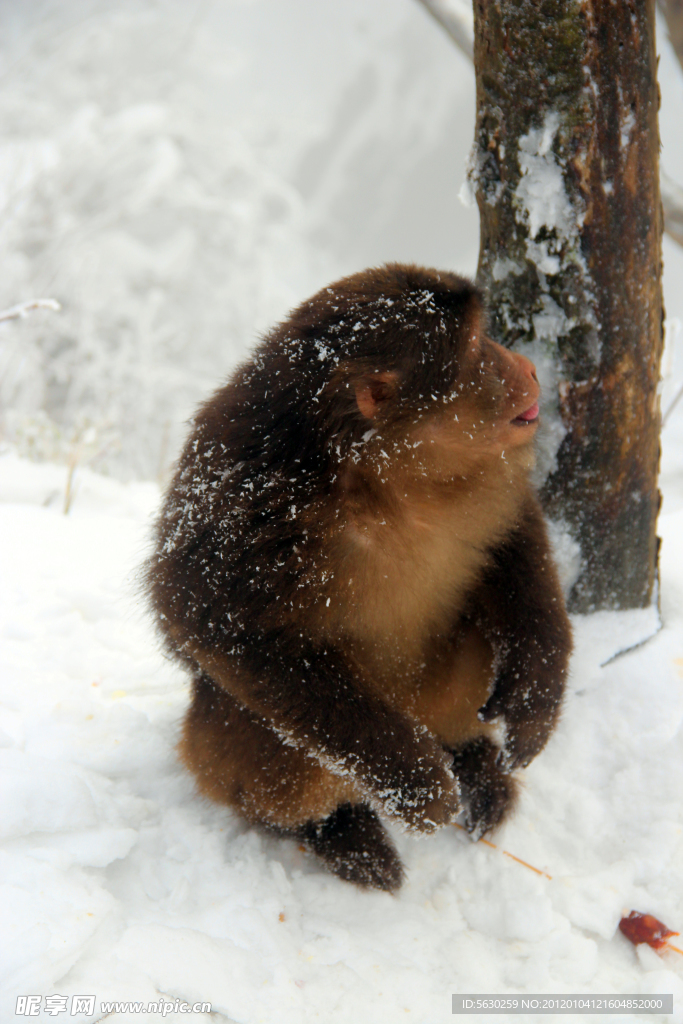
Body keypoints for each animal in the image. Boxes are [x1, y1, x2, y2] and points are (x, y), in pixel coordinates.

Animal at [144, 266, 573, 897]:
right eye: (476, 349)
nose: (528, 367)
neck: (386, 476)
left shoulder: (489, 472)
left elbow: (513, 530)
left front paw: (536, 693)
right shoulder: (246, 507)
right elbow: (211, 620)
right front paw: (414, 784)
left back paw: (472, 760)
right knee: (274, 742)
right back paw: (339, 830)